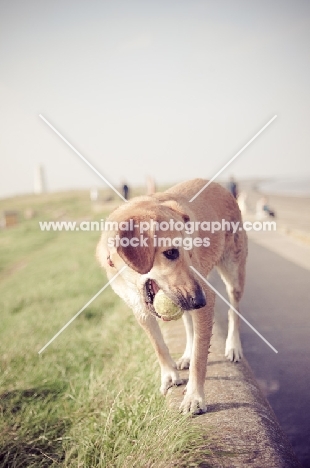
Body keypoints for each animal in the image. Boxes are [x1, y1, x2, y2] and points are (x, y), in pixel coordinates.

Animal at [97, 178, 247, 414]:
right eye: (170, 253)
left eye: (191, 253)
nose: (200, 300)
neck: (129, 277)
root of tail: (217, 185)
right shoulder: (139, 310)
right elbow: (158, 345)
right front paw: (169, 376)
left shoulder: (205, 299)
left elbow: (200, 357)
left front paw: (194, 397)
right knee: (189, 324)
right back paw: (187, 354)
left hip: (233, 274)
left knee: (234, 311)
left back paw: (233, 346)